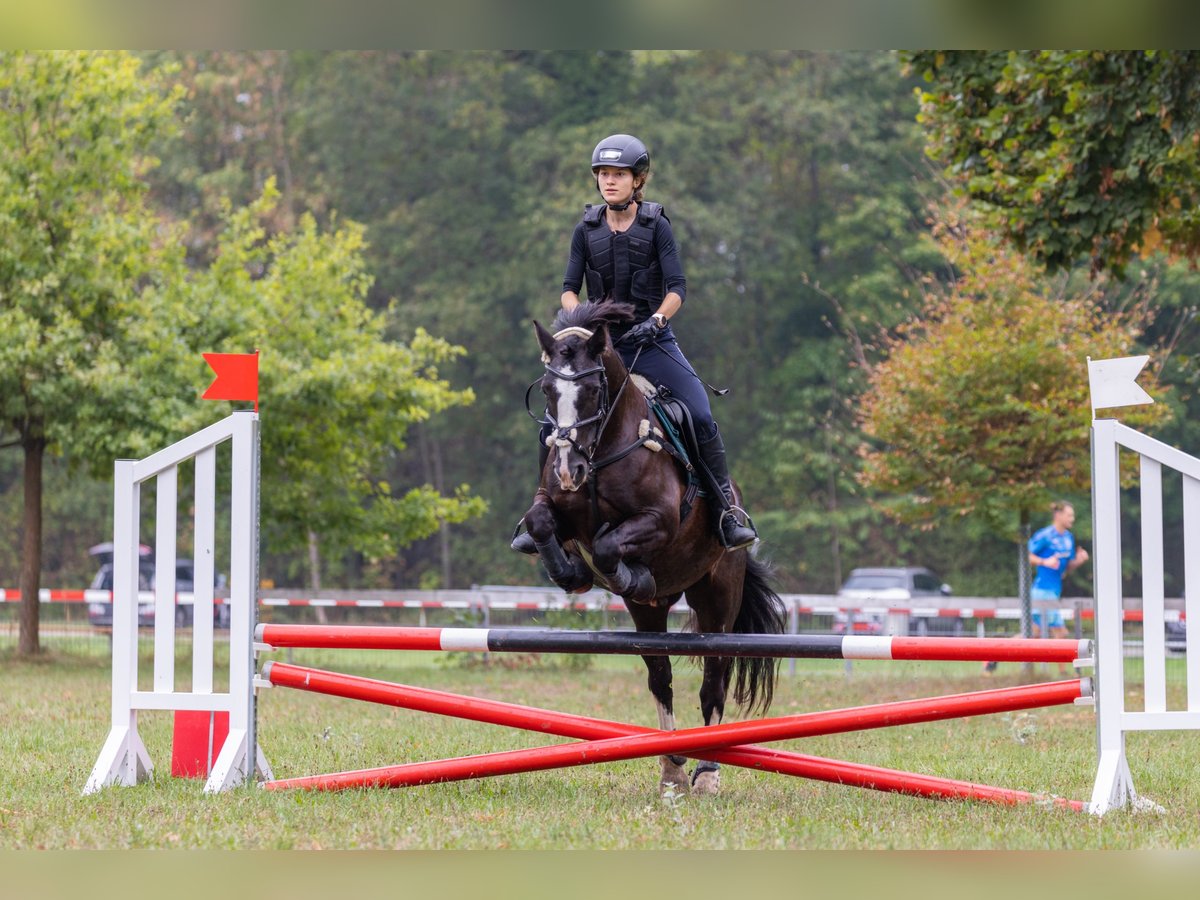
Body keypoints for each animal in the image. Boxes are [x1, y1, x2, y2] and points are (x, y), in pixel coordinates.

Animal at [518, 301, 787, 796]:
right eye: (547, 389)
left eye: (592, 389)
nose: (568, 469)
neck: (603, 447)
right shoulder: (552, 508)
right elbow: (541, 523)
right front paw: (574, 574)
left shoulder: (660, 520)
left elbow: (608, 545)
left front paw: (628, 573)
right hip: (650, 616)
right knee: (661, 677)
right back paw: (672, 768)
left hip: (718, 597)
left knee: (714, 680)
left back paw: (706, 772)